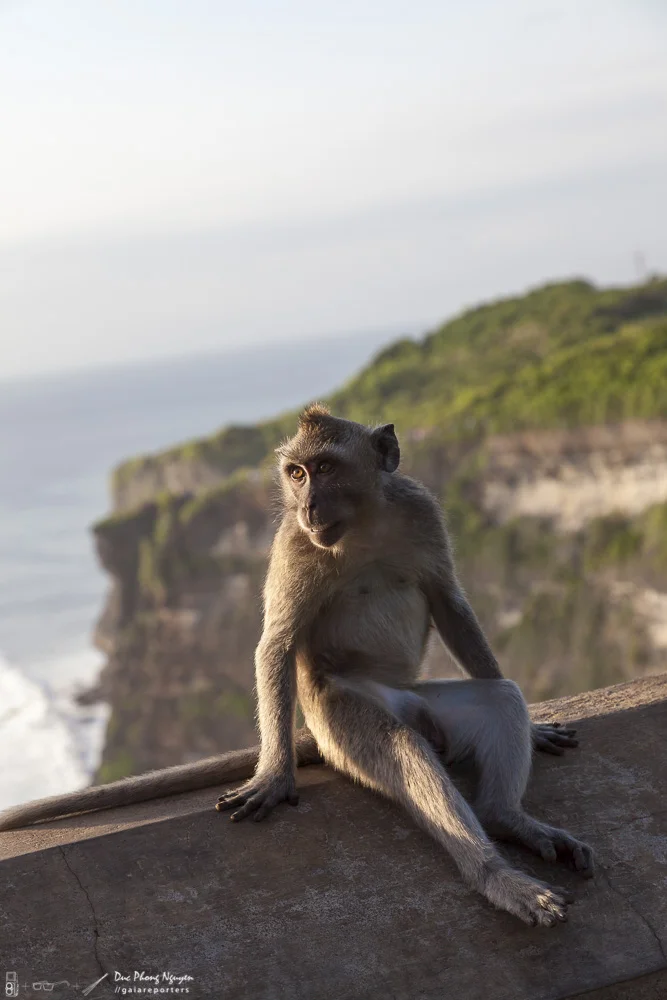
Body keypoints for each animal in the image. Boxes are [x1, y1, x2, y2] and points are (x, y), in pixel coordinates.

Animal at [0, 407, 590, 928]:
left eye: (325, 468)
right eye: (297, 473)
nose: (308, 505)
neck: (363, 527)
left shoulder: (419, 511)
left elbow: (449, 603)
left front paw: (535, 729)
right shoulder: (293, 545)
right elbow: (278, 644)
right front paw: (274, 774)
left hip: (419, 701)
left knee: (499, 696)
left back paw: (505, 818)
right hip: (336, 719)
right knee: (401, 745)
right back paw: (496, 875)